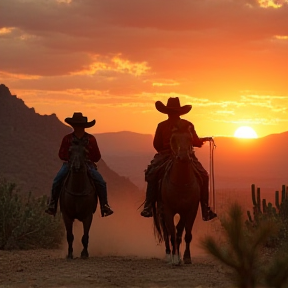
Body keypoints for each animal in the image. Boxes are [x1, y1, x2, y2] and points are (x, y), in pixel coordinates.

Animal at [153, 120, 200, 266]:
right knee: (166, 232)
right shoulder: (168, 210)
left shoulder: (189, 210)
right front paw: (174, 258)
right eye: (173, 139)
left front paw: (185, 257)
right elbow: (172, 233)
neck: (181, 184)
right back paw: (169, 254)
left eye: (190, 138)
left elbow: (184, 233)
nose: (183, 157)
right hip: (161, 211)